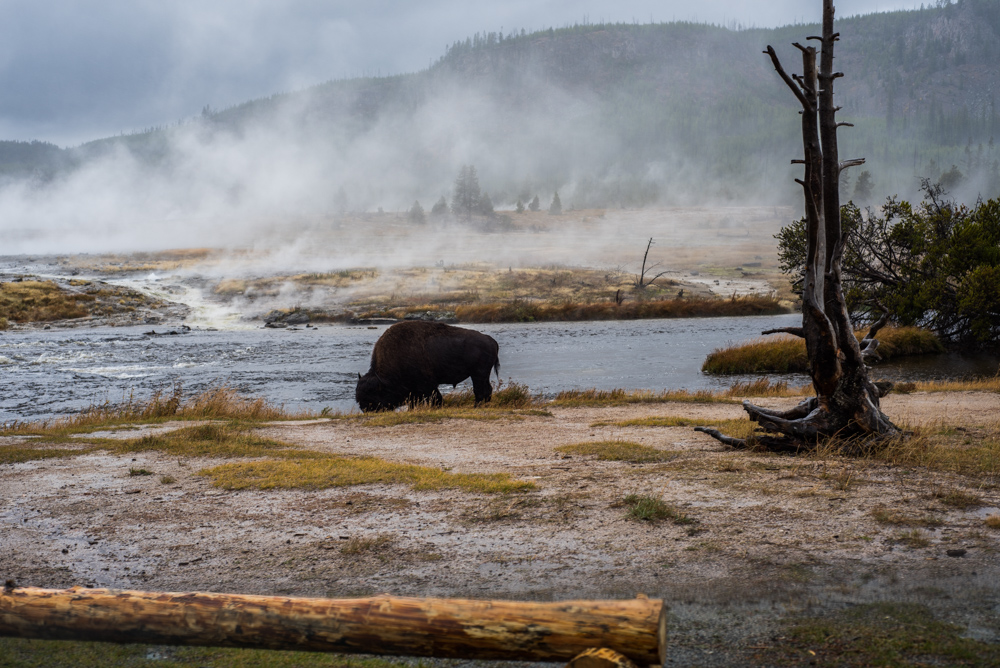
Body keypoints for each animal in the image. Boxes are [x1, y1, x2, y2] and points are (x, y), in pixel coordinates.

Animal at [358, 320, 504, 410]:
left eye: (373, 394)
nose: (365, 409)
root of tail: (490, 340)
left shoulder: (427, 385)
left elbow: (436, 398)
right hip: (481, 374)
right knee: (487, 390)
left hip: (478, 374)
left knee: (480, 390)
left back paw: (476, 406)